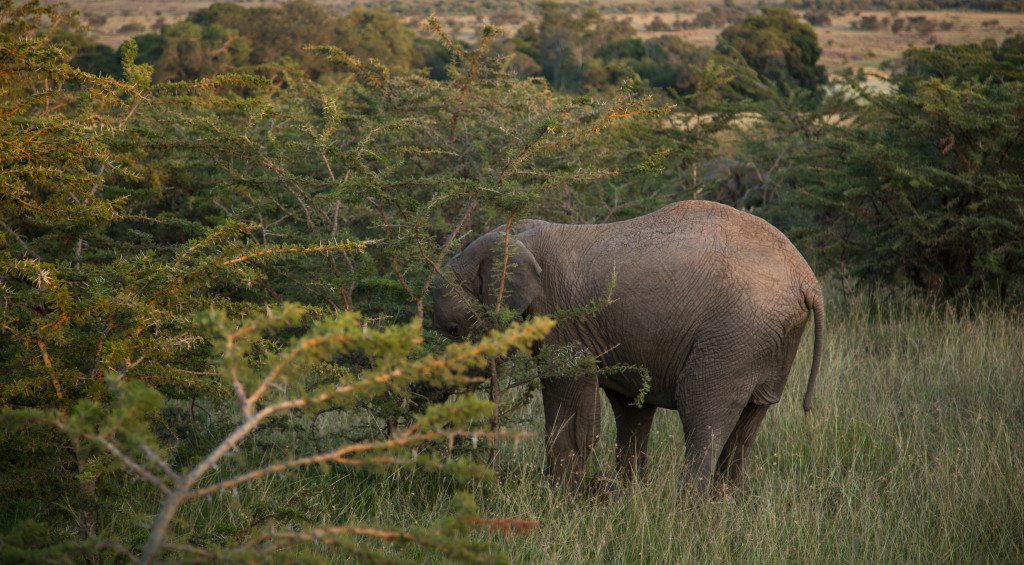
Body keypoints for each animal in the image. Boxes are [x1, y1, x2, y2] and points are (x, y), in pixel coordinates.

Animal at [430, 199, 823, 489]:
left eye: (452, 329)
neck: (513, 233)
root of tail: (807, 278)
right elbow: (631, 409)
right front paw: (626, 496)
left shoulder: (560, 319)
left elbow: (570, 404)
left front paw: (561, 500)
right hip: (770, 336)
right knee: (749, 422)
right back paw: (726, 502)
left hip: (736, 333)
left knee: (703, 413)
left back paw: (688, 513)